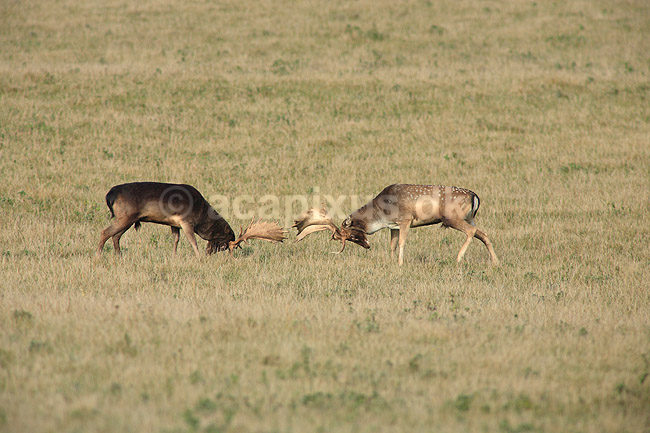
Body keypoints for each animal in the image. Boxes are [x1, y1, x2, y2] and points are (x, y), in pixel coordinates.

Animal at [96, 182, 287, 258]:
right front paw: (198, 257)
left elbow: (176, 240)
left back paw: (119, 256)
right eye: (225, 245)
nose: (209, 253)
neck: (202, 215)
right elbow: (192, 241)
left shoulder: (174, 224)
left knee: (116, 236)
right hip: (126, 216)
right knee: (105, 232)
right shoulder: (186, 221)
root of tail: (109, 195)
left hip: (127, 219)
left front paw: (174, 256)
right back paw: (98, 256)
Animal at [293, 184, 499, 266]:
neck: (381, 214)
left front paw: (400, 263)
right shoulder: (393, 226)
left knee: (472, 232)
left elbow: (401, 243)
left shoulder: (405, 219)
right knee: (484, 233)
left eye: (350, 235)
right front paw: (390, 261)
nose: (367, 246)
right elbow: (391, 245)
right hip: (469, 217)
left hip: (452, 218)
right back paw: (495, 261)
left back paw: (458, 258)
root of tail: (474, 196)